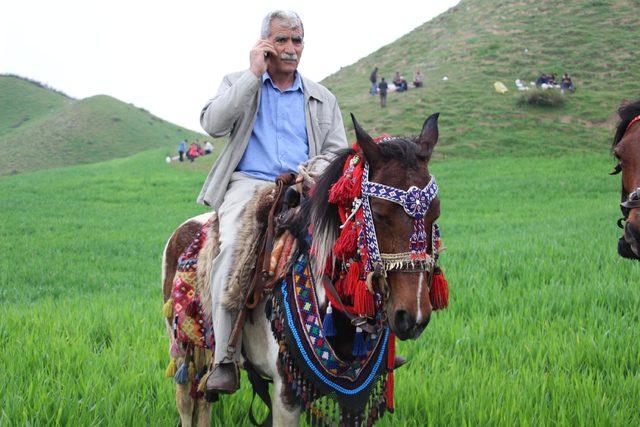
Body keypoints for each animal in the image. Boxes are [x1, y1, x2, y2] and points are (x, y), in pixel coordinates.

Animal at [161, 114, 444, 427]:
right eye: (380, 214)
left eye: (435, 213)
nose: (413, 317)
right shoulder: (287, 394)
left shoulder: (354, 397)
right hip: (182, 346)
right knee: (188, 402)